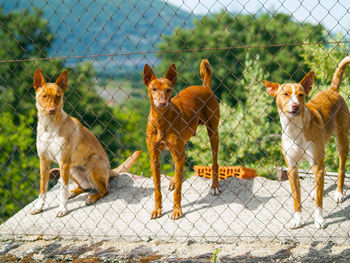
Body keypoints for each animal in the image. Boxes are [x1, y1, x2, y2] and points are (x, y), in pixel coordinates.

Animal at [31, 68, 141, 219]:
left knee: (104, 190)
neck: (49, 127)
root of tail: (109, 170)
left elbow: (63, 189)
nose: (52, 110)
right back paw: (73, 193)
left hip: (92, 162)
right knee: (84, 187)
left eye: (58, 96)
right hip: (72, 170)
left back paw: (92, 198)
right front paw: (39, 207)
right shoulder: (44, 160)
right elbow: (43, 188)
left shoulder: (63, 161)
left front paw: (63, 209)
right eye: (44, 96)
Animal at [142, 59, 219, 221]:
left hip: (213, 133)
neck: (161, 121)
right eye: (153, 89)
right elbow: (157, 188)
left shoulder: (177, 153)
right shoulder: (154, 158)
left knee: (215, 162)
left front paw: (177, 210)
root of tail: (204, 87)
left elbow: (178, 190)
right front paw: (157, 209)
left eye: (168, 90)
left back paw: (215, 186)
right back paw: (173, 180)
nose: (162, 103)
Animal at [264, 57, 350, 229]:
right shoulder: (292, 168)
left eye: (301, 95)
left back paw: (338, 193)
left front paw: (319, 220)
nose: (295, 105)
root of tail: (333, 90)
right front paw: (298, 220)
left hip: (342, 142)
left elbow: (319, 202)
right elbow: (297, 199)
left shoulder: (317, 164)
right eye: (285, 94)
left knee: (341, 168)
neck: (295, 129)